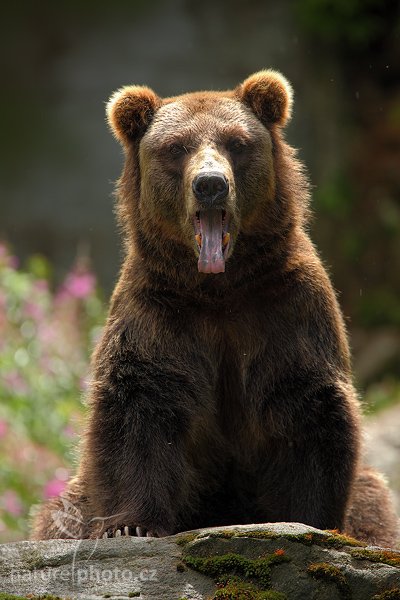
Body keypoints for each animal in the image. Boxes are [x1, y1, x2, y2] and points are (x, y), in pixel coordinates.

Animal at [32, 71, 398, 548]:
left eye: (236, 142)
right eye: (176, 147)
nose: (209, 183)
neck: (218, 288)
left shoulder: (285, 306)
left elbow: (306, 405)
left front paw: (309, 523)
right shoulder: (160, 312)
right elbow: (140, 402)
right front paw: (131, 525)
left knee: (373, 500)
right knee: (63, 512)